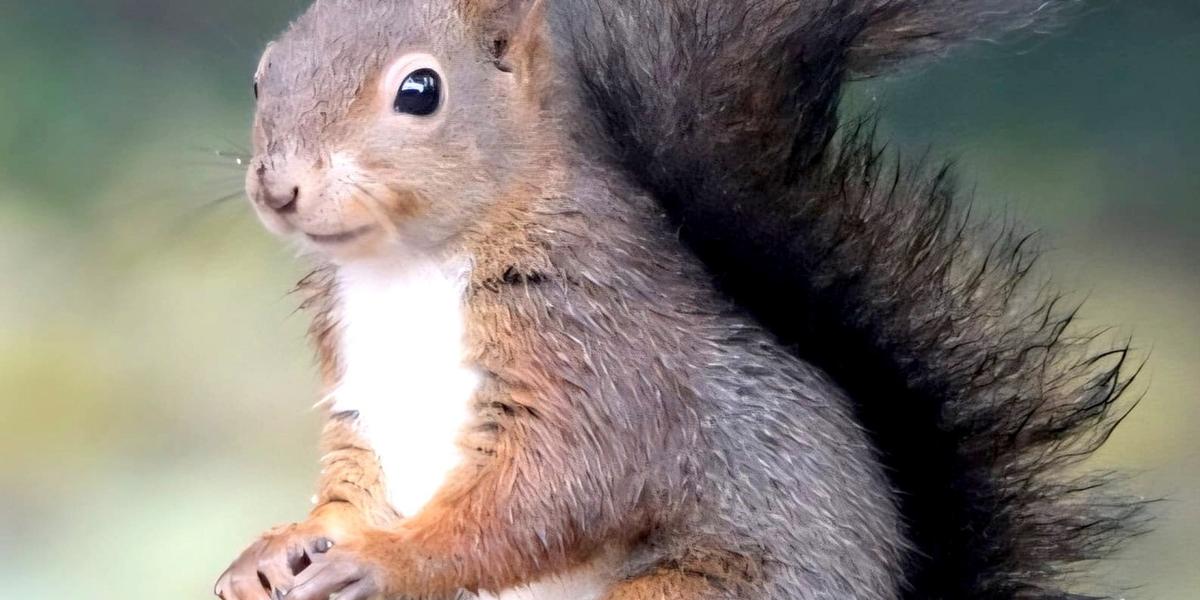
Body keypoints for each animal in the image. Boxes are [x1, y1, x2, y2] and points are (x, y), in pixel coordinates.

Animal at [215, 1, 1146, 599]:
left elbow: (553, 491)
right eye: (262, 79)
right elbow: (350, 483)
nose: (278, 186)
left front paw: (387, 561)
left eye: (419, 91)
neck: (402, 267)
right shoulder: (358, 390)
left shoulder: (599, 350)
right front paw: (278, 549)